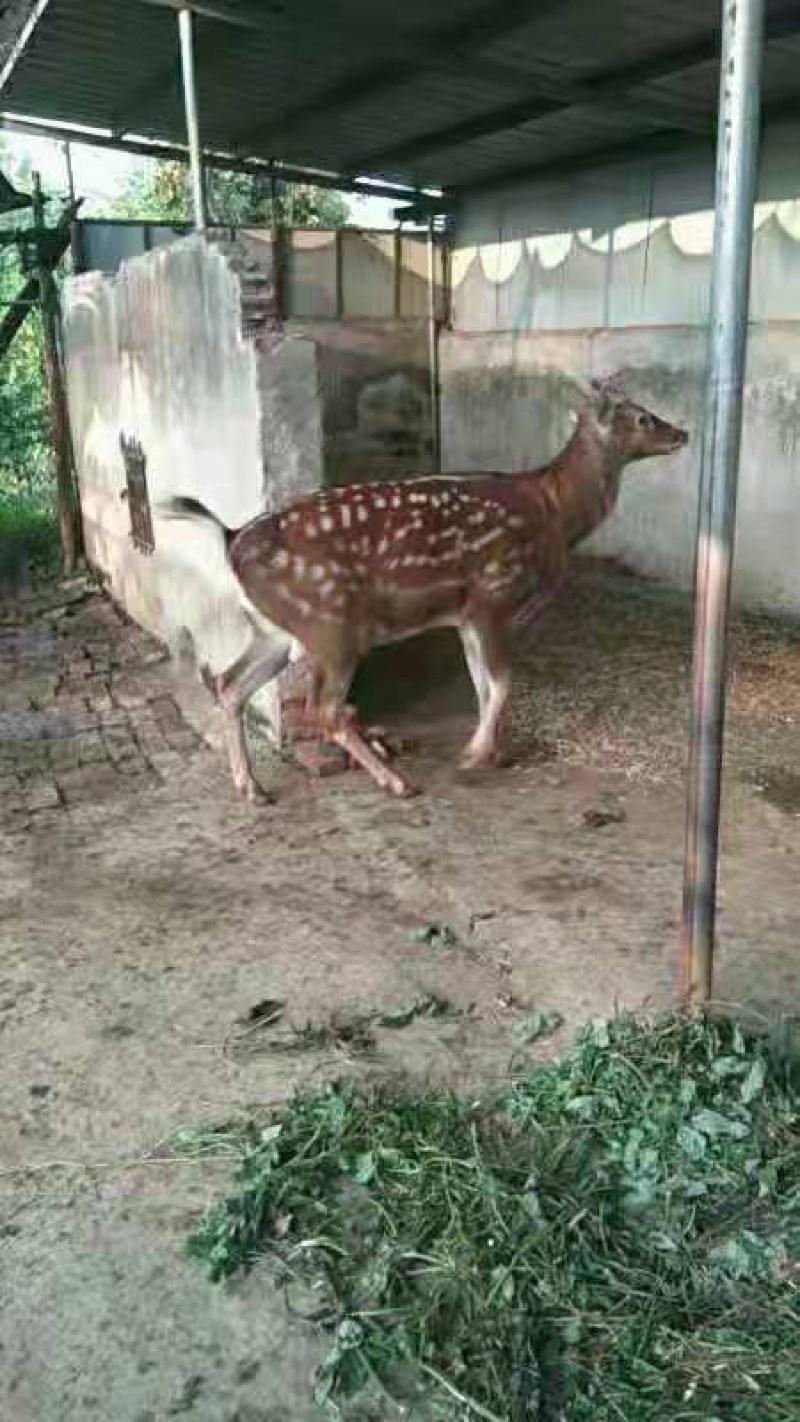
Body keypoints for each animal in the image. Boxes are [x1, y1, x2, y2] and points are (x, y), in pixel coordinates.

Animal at [157, 377, 688, 802]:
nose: (682, 433)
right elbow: (502, 682)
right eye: (643, 417)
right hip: (332, 625)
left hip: (277, 630)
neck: (554, 513)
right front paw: (475, 752)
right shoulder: (493, 594)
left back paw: (252, 787)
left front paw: (496, 751)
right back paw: (395, 781)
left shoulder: (466, 614)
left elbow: (482, 684)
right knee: (323, 708)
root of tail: (230, 539)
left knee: (229, 684)